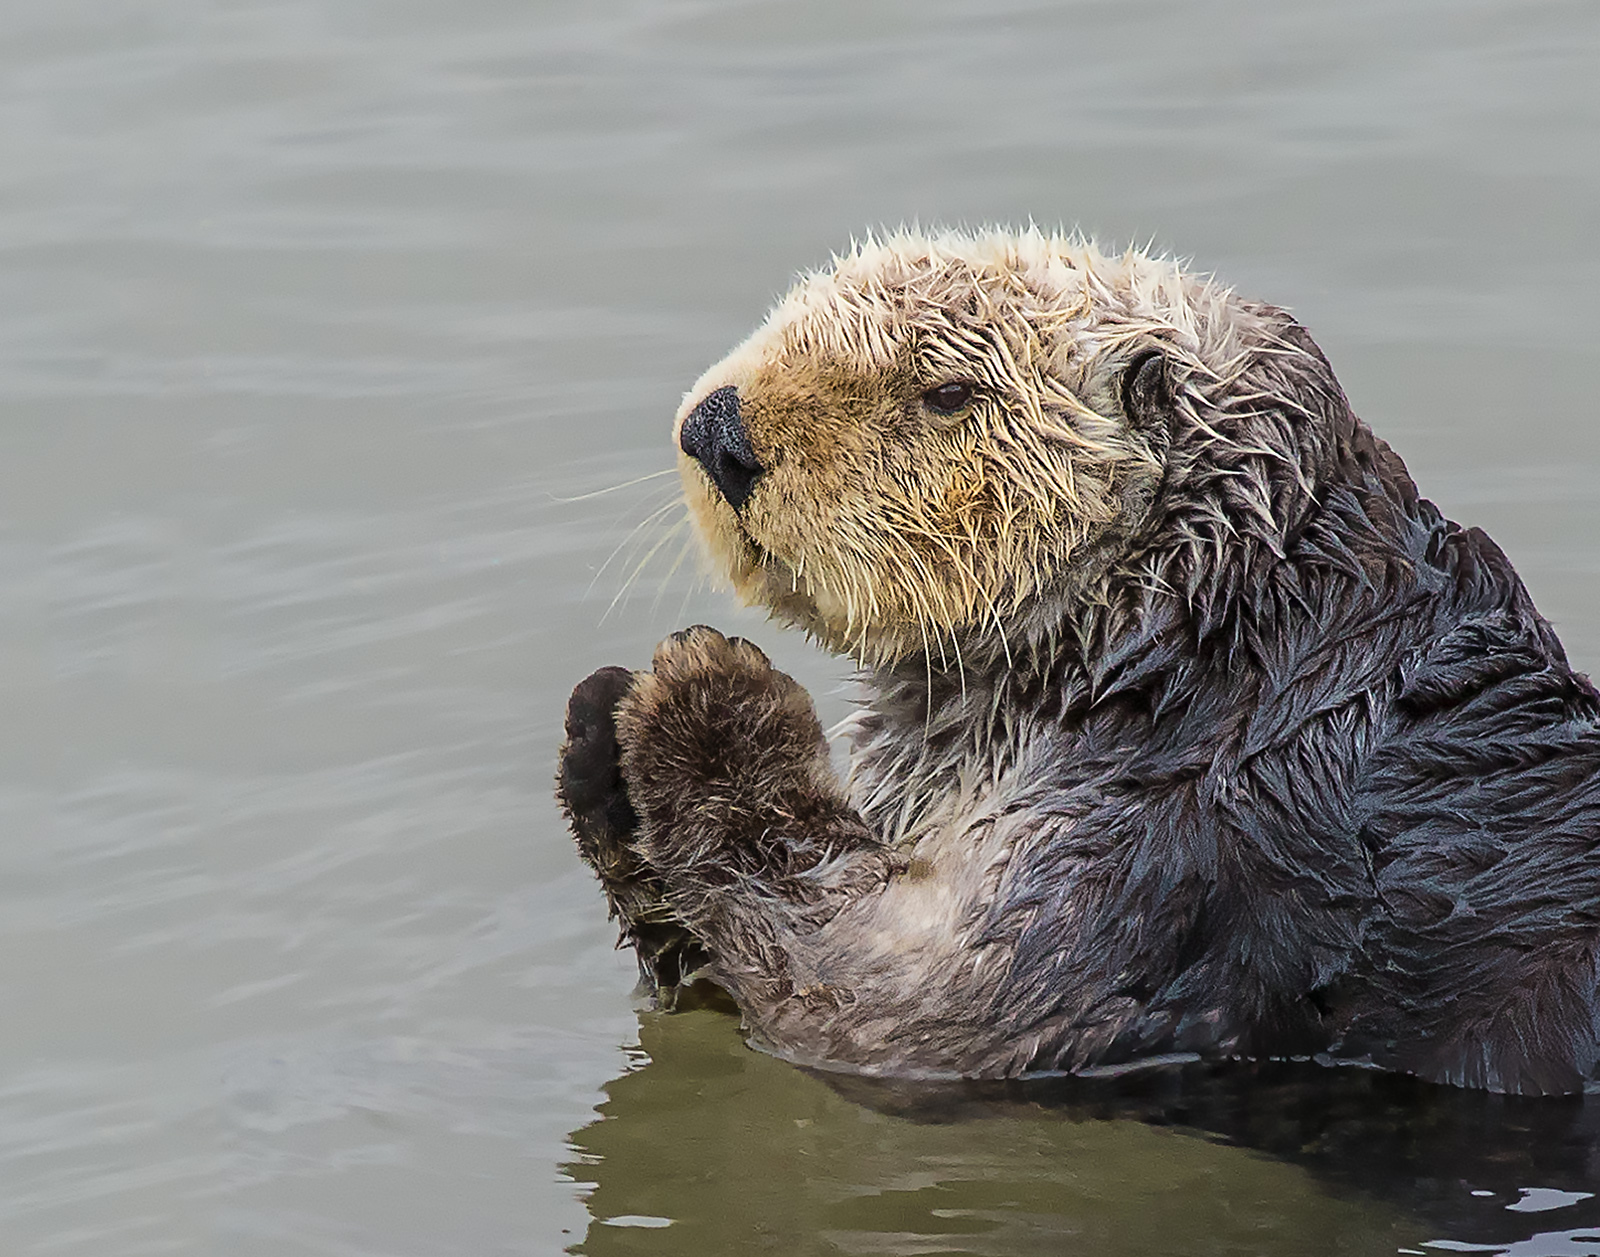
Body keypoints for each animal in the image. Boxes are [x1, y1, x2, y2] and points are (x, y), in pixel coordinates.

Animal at [557, 228, 1600, 1096]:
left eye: (948, 393)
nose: (716, 430)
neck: (1219, 641)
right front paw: (600, 725)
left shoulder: (1151, 850)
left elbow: (895, 1002)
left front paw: (703, 697)